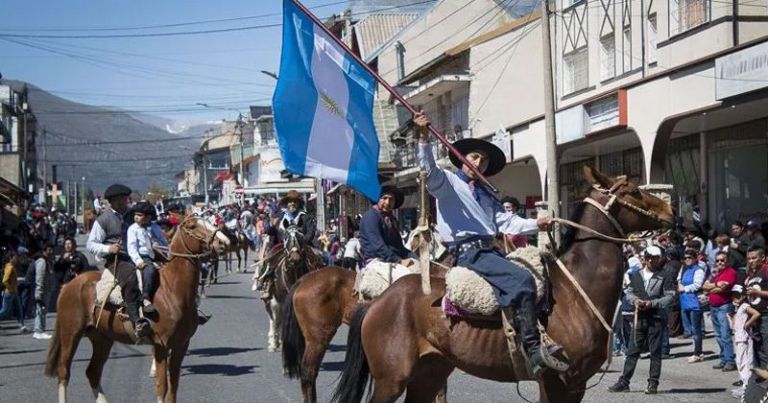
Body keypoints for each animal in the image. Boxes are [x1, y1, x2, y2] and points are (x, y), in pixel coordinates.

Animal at [44, 218, 230, 403]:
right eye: (193, 226)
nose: (223, 242)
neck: (172, 290)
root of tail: (69, 285)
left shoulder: (181, 345)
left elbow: (173, 387)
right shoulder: (161, 345)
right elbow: (162, 387)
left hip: (102, 338)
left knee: (93, 372)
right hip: (71, 333)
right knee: (63, 372)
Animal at [332, 166, 680, 403]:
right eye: (633, 191)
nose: (672, 210)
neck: (576, 293)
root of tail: (378, 302)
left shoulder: (576, 385)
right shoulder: (557, 382)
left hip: (429, 372)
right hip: (391, 379)